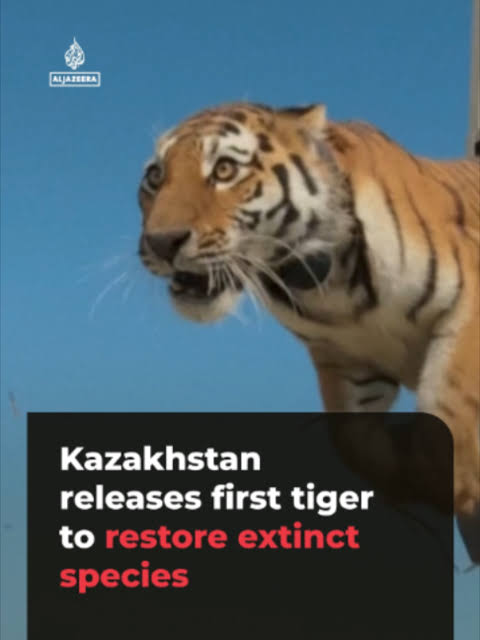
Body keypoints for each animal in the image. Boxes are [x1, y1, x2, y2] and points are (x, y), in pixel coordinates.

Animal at [137, 102, 480, 560]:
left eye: (225, 169)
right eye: (155, 177)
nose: (161, 242)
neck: (322, 281)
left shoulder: (466, 308)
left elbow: (449, 411)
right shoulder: (344, 359)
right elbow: (355, 445)